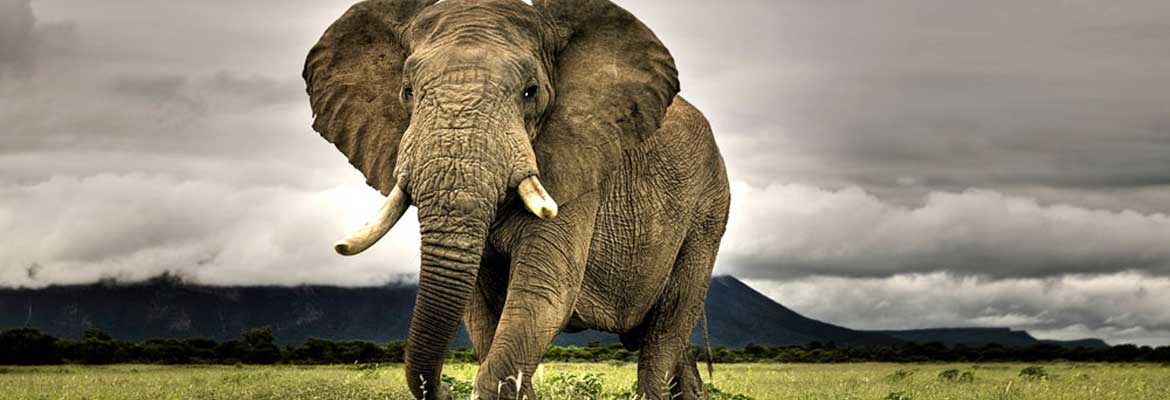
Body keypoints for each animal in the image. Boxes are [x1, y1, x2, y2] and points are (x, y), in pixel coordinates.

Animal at [303, 0, 729, 398]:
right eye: (407, 92)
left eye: (530, 92)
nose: (442, 389)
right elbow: (480, 311)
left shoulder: (579, 167)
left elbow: (542, 295)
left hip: (708, 213)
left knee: (667, 326)